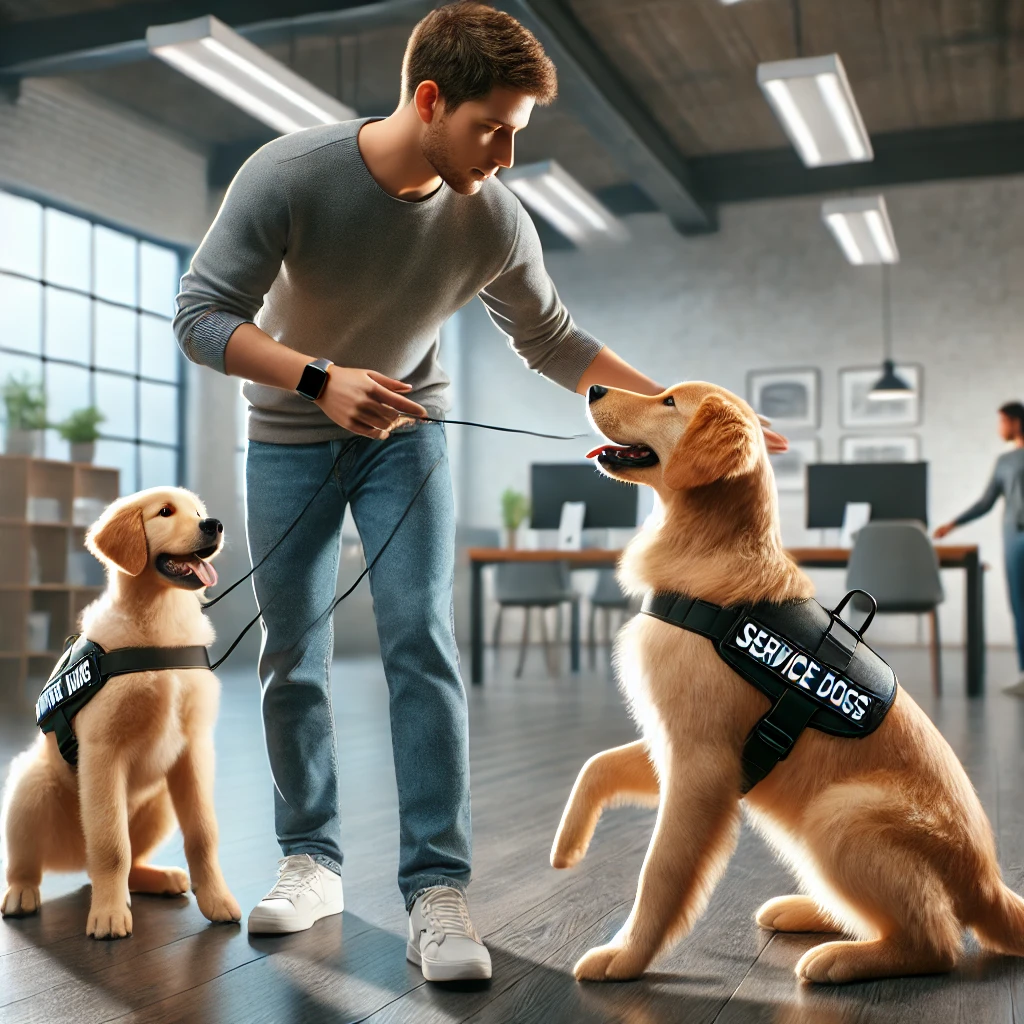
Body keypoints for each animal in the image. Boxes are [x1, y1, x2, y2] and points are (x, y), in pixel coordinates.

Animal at [1, 487, 239, 937]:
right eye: (165, 512)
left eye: (198, 511)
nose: (214, 524)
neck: (161, 626)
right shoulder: (103, 752)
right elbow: (112, 845)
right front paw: (109, 916)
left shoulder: (194, 750)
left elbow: (203, 833)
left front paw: (218, 900)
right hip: (30, 785)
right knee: (33, 862)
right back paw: (21, 893)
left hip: (160, 801)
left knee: (130, 862)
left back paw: (158, 878)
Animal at [557, 382, 1024, 983]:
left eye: (668, 402)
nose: (593, 386)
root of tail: (988, 883)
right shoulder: (677, 745)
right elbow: (596, 765)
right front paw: (567, 846)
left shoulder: (702, 765)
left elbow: (660, 870)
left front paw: (625, 956)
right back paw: (812, 912)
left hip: (840, 813)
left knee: (937, 941)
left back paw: (843, 959)